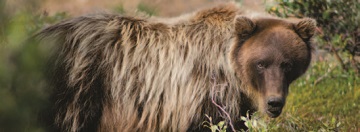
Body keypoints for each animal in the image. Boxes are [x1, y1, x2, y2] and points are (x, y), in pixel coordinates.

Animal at [38, 2, 316, 132]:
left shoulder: (236, 104)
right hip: (78, 87)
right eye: (261, 63)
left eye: (287, 64)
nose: (274, 103)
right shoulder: (203, 95)